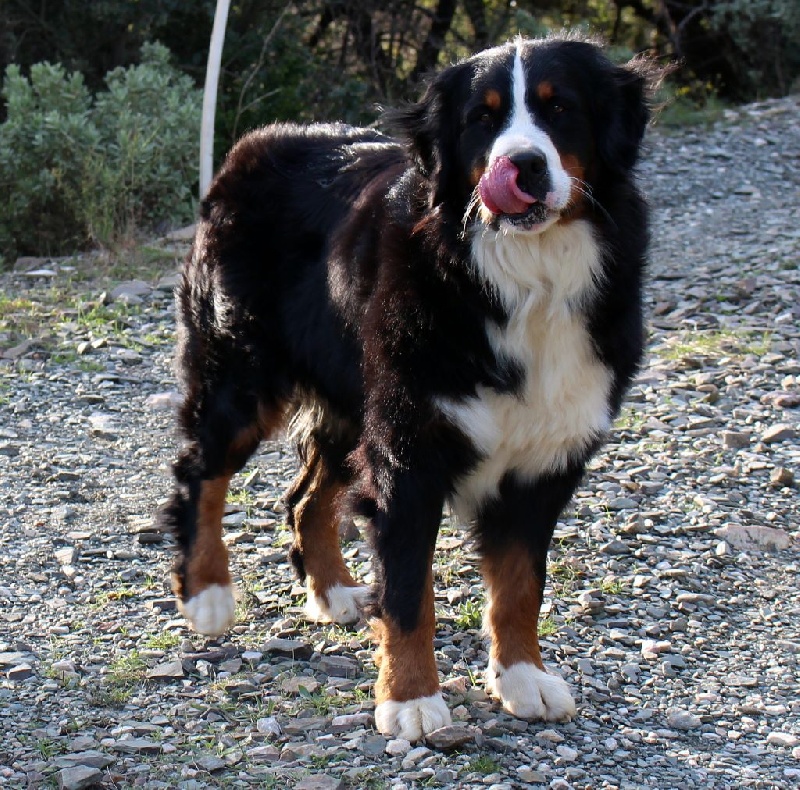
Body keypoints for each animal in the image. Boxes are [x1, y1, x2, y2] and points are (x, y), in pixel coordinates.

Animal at [161, 35, 648, 744]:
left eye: (561, 108)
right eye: (482, 118)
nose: (522, 164)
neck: (524, 276)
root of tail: (257, 142)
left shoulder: (544, 456)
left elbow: (520, 584)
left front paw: (522, 677)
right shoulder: (410, 450)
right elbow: (409, 590)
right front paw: (412, 700)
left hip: (353, 400)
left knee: (305, 499)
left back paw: (333, 592)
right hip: (242, 372)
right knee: (202, 470)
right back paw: (207, 594)